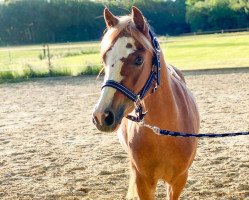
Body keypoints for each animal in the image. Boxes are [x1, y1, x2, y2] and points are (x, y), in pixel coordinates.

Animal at [92, 6, 199, 200]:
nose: (101, 115)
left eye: (138, 60)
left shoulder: (178, 181)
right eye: (104, 59)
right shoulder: (143, 181)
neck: (164, 133)